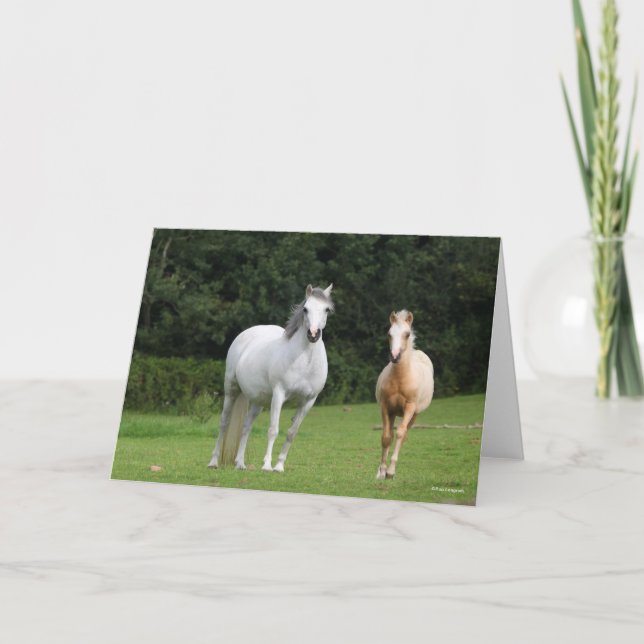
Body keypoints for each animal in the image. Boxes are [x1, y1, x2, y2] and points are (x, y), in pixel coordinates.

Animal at [207, 284, 334, 473]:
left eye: (326, 309)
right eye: (305, 309)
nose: (313, 334)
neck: (305, 360)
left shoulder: (308, 401)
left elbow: (291, 433)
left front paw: (279, 466)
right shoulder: (279, 394)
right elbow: (273, 430)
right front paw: (267, 465)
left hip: (257, 401)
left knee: (246, 426)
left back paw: (240, 463)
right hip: (231, 390)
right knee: (224, 423)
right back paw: (214, 462)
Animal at [375, 310, 434, 479]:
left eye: (407, 334)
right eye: (389, 334)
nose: (394, 357)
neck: (400, 379)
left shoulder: (410, 407)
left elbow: (400, 433)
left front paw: (390, 472)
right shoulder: (385, 407)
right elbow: (386, 437)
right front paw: (381, 471)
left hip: (414, 414)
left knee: (404, 433)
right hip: (393, 412)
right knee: (389, 434)